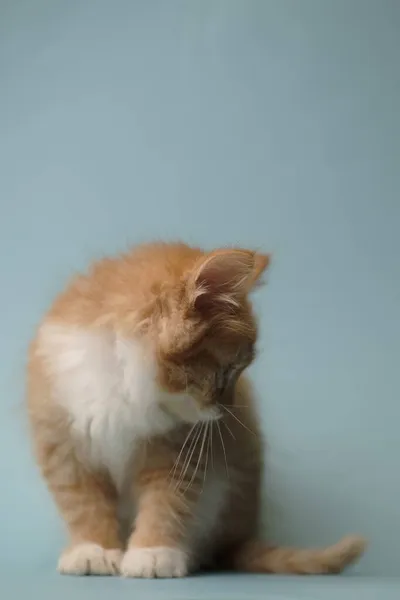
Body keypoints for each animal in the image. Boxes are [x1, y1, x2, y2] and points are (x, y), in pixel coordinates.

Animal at [26, 243, 368, 576]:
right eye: (228, 372)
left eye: (238, 371)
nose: (228, 409)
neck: (121, 381)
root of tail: (237, 539)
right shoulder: (63, 441)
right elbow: (83, 502)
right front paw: (93, 548)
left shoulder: (177, 450)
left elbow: (167, 501)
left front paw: (153, 552)